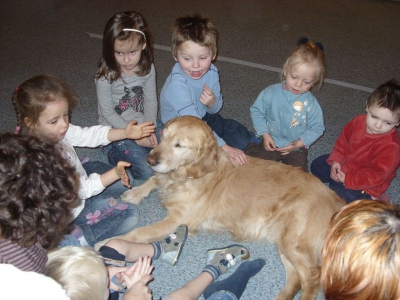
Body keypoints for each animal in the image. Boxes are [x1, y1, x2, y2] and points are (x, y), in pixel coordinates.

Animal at [118, 115, 344, 300]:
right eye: (163, 137)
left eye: (179, 145)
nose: (150, 160)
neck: (191, 174)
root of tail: (335, 199)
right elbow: (154, 180)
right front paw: (134, 193)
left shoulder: (176, 220)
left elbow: (137, 233)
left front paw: (114, 244)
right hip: (283, 242)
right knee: (296, 279)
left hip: (293, 241)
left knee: (312, 277)